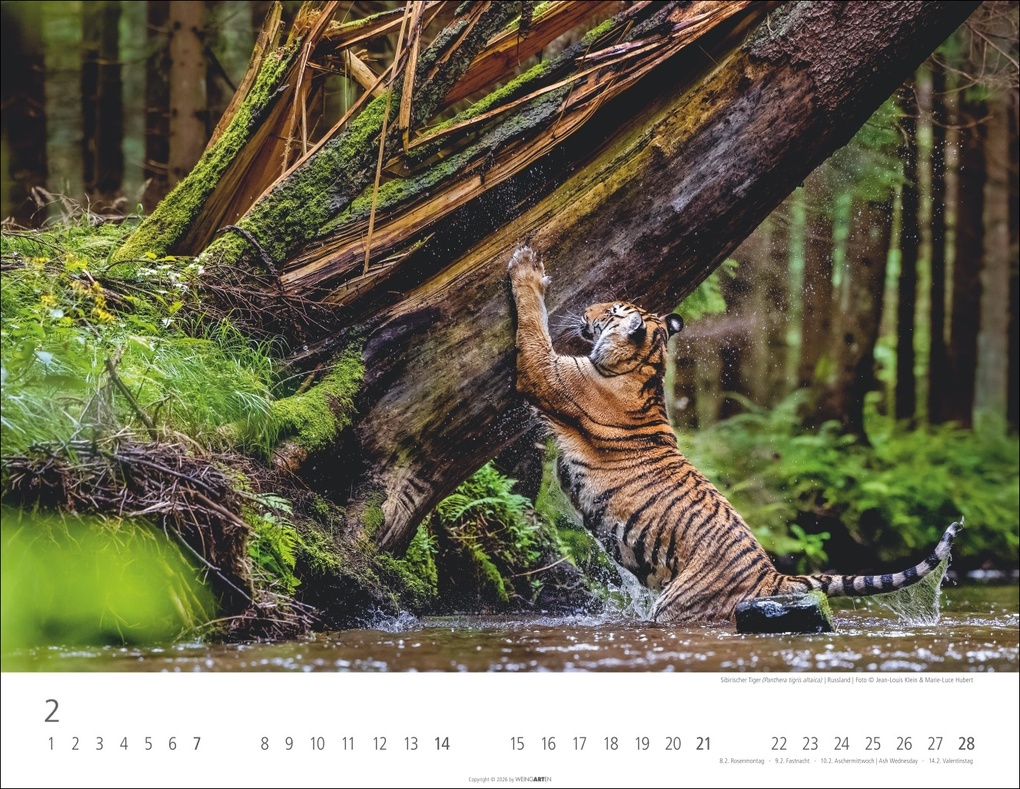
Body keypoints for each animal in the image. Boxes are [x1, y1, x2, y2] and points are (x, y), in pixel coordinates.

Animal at [507, 245, 959, 624]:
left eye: (613, 310)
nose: (589, 307)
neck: (648, 365)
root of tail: (775, 576)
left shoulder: (546, 373)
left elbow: (532, 325)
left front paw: (526, 268)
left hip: (676, 605)